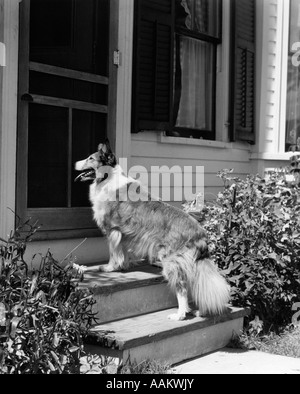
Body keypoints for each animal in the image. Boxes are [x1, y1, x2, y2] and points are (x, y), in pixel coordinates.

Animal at [75, 142, 230, 320]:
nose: (75, 163)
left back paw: (180, 315)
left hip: (172, 261)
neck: (109, 177)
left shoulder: (113, 231)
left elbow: (114, 253)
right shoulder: (124, 234)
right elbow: (123, 253)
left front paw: (109, 268)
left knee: (182, 288)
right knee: (198, 284)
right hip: (192, 264)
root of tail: (200, 233)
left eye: (90, 158)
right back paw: (200, 311)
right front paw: (124, 265)